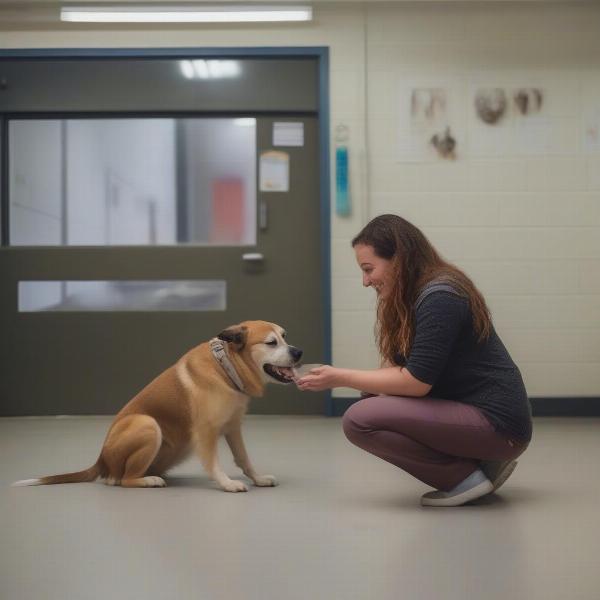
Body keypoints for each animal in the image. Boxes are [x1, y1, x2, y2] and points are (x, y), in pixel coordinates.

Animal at [12, 322, 304, 490]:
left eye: (285, 336)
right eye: (271, 342)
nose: (299, 352)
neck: (226, 368)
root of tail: (101, 461)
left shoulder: (233, 427)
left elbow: (244, 459)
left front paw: (258, 479)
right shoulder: (207, 432)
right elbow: (213, 463)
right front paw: (227, 483)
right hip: (148, 425)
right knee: (121, 479)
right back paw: (147, 480)